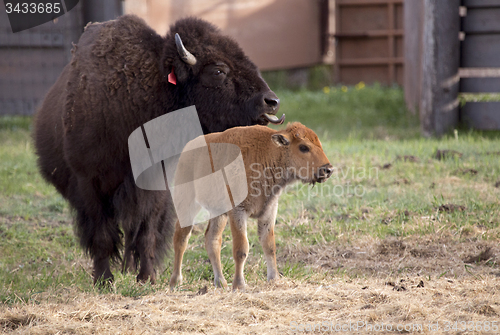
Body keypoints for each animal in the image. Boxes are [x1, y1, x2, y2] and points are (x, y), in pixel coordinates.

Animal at [34, 15, 286, 286]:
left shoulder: (157, 185)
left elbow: (147, 232)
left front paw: (148, 277)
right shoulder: (89, 184)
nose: (271, 101)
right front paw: (104, 280)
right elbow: (101, 236)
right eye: (218, 71)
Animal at [170, 122, 334, 290]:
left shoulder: (269, 210)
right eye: (303, 147)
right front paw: (239, 285)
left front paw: (274, 279)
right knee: (181, 237)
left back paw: (220, 282)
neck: (269, 153)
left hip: (218, 213)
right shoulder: (238, 211)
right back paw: (176, 281)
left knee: (212, 240)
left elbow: (269, 246)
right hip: (187, 202)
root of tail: (187, 149)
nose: (328, 169)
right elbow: (241, 248)